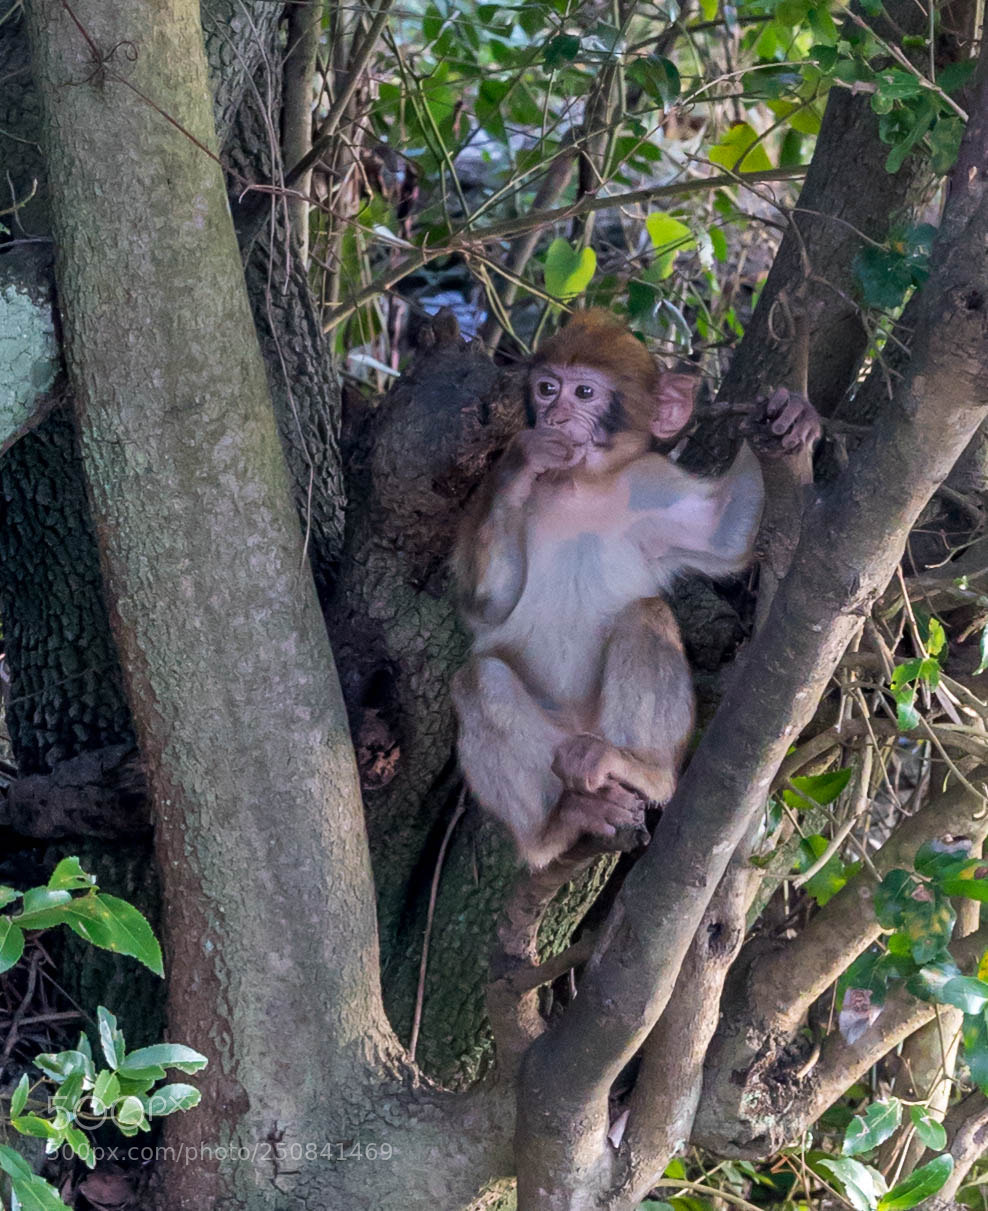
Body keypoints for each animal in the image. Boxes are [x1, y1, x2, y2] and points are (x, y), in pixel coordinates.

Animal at [451, 309, 821, 868]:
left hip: (599, 734)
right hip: (552, 745)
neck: (578, 486)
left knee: (645, 614)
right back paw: (557, 827)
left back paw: (640, 769)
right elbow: (488, 603)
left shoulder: (652, 481)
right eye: (546, 388)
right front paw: (524, 459)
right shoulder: (484, 493)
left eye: (584, 392)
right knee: (479, 680)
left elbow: (725, 533)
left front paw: (795, 418)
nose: (556, 417)